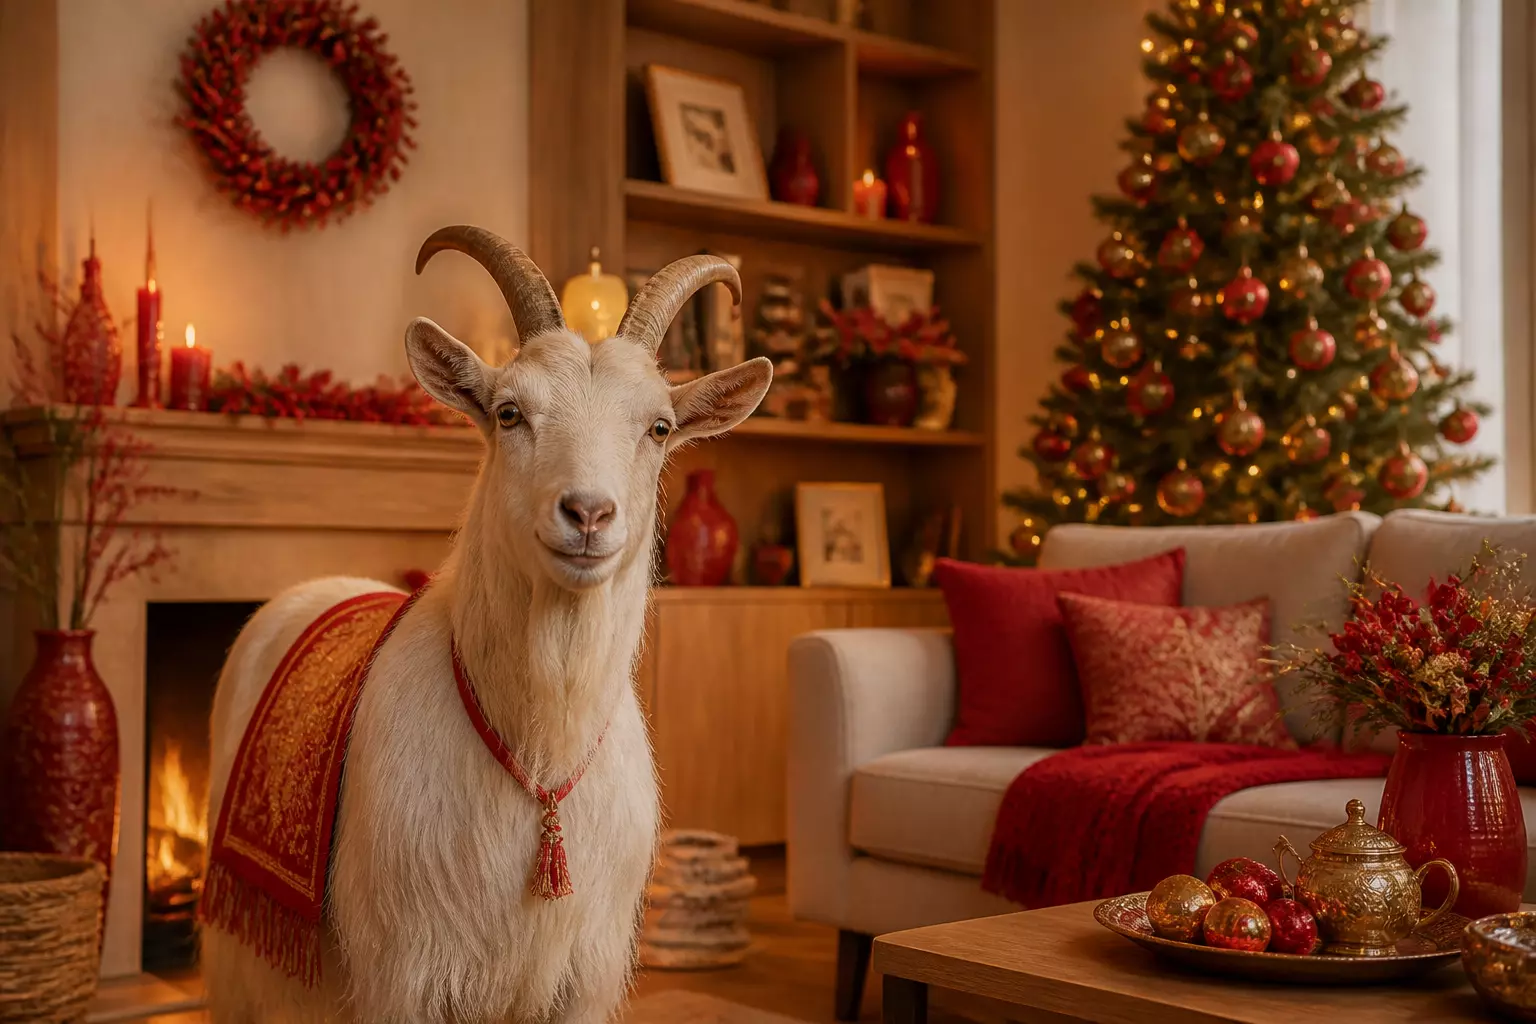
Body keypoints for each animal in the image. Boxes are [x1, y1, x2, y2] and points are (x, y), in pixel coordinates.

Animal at [202, 226, 772, 1023]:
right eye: (509, 413)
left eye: (659, 427)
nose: (588, 514)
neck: (538, 761)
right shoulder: (400, 975)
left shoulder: (581, 980)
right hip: (244, 964)